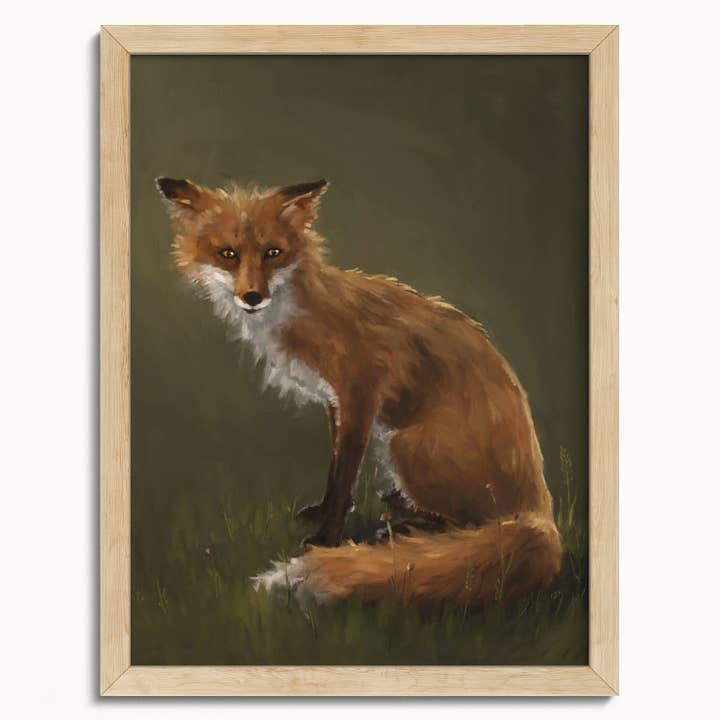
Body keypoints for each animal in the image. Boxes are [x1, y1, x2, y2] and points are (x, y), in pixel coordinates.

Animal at [156, 175, 562, 606]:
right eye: (228, 254)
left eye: (273, 253)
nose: (252, 297)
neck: (303, 311)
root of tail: (541, 509)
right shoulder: (335, 401)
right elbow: (335, 470)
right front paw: (322, 513)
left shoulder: (360, 396)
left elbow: (343, 477)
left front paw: (325, 539)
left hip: (404, 446)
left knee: (478, 525)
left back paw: (408, 528)